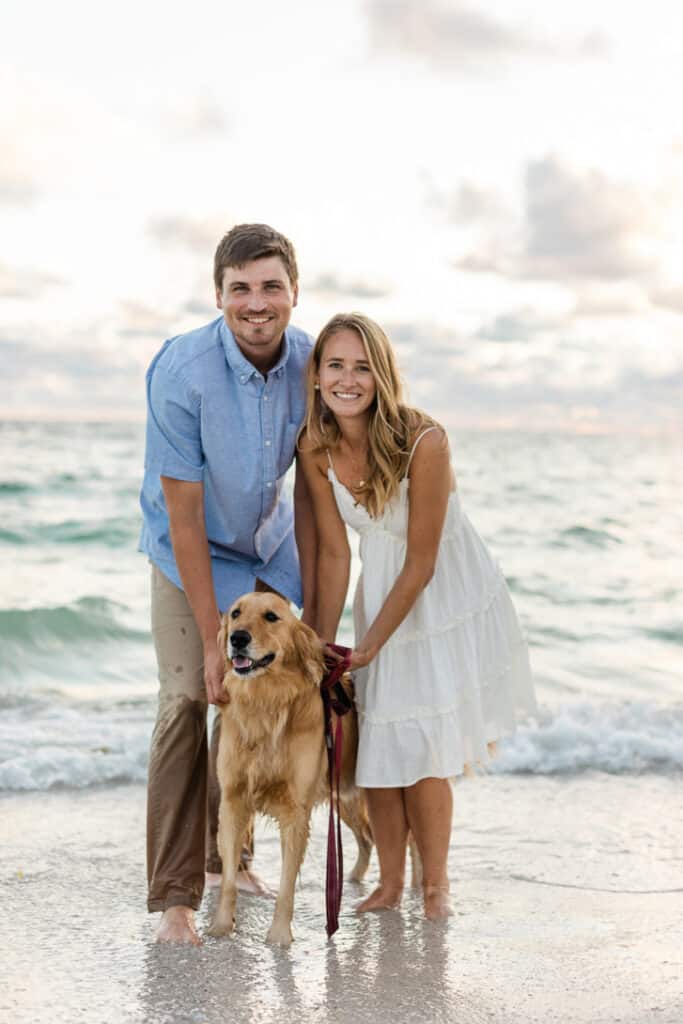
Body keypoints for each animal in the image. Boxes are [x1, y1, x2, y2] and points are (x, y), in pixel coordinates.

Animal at [206, 593, 374, 942]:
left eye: (271, 616)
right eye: (236, 613)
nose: (237, 638)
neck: (267, 703)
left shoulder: (295, 810)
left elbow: (286, 885)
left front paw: (280, 937)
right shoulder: (233, 801)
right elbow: (228, 878)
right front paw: (221, 927)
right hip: (344, 797)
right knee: (368, 839)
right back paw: (354, 881)